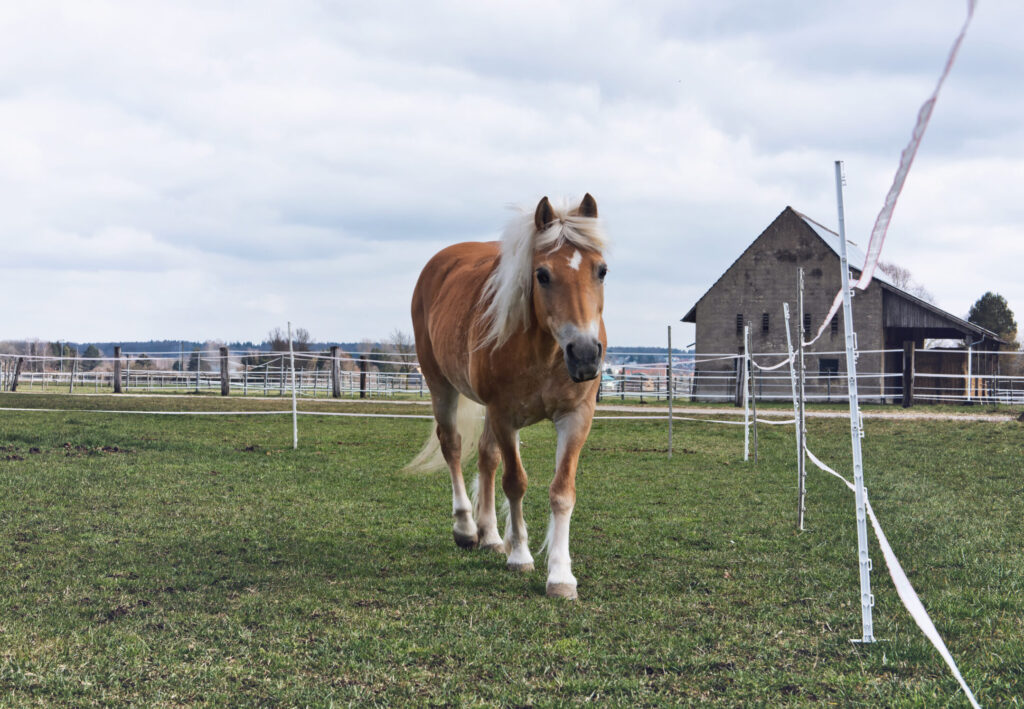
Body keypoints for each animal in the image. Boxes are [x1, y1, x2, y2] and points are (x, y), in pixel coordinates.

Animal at [403, 193, 602, 598]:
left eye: (601, 270)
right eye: (542, 275)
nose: (586, 355)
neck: (545, 350)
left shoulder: (576, 417)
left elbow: (562, 490)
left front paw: (560, 575)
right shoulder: (504, 415)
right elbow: (516, 482)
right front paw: (521, 556)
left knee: (486, 457)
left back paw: (492, 535)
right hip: (441, 385)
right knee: (453, 446)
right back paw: (466, 528)